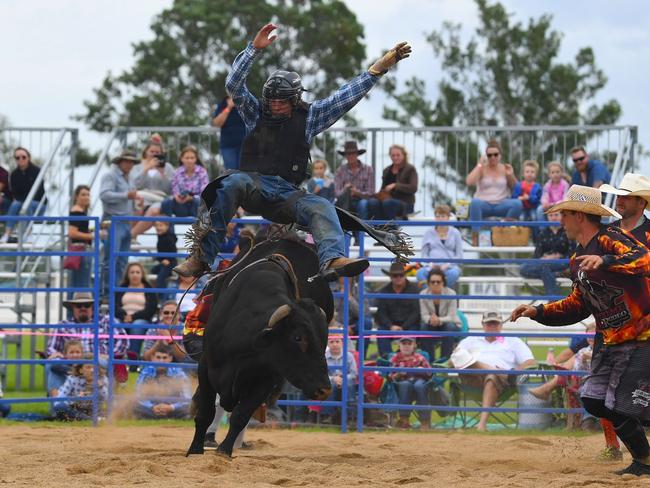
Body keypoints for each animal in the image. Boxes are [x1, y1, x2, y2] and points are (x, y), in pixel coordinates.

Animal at [185, 238, 332, 456]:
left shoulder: (266, 379)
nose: (324, 390)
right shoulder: (205, 366)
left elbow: (241, 415)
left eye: (324, 340)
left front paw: (224, 451)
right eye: (298, 338)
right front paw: (195, 449)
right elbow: (206, 412)